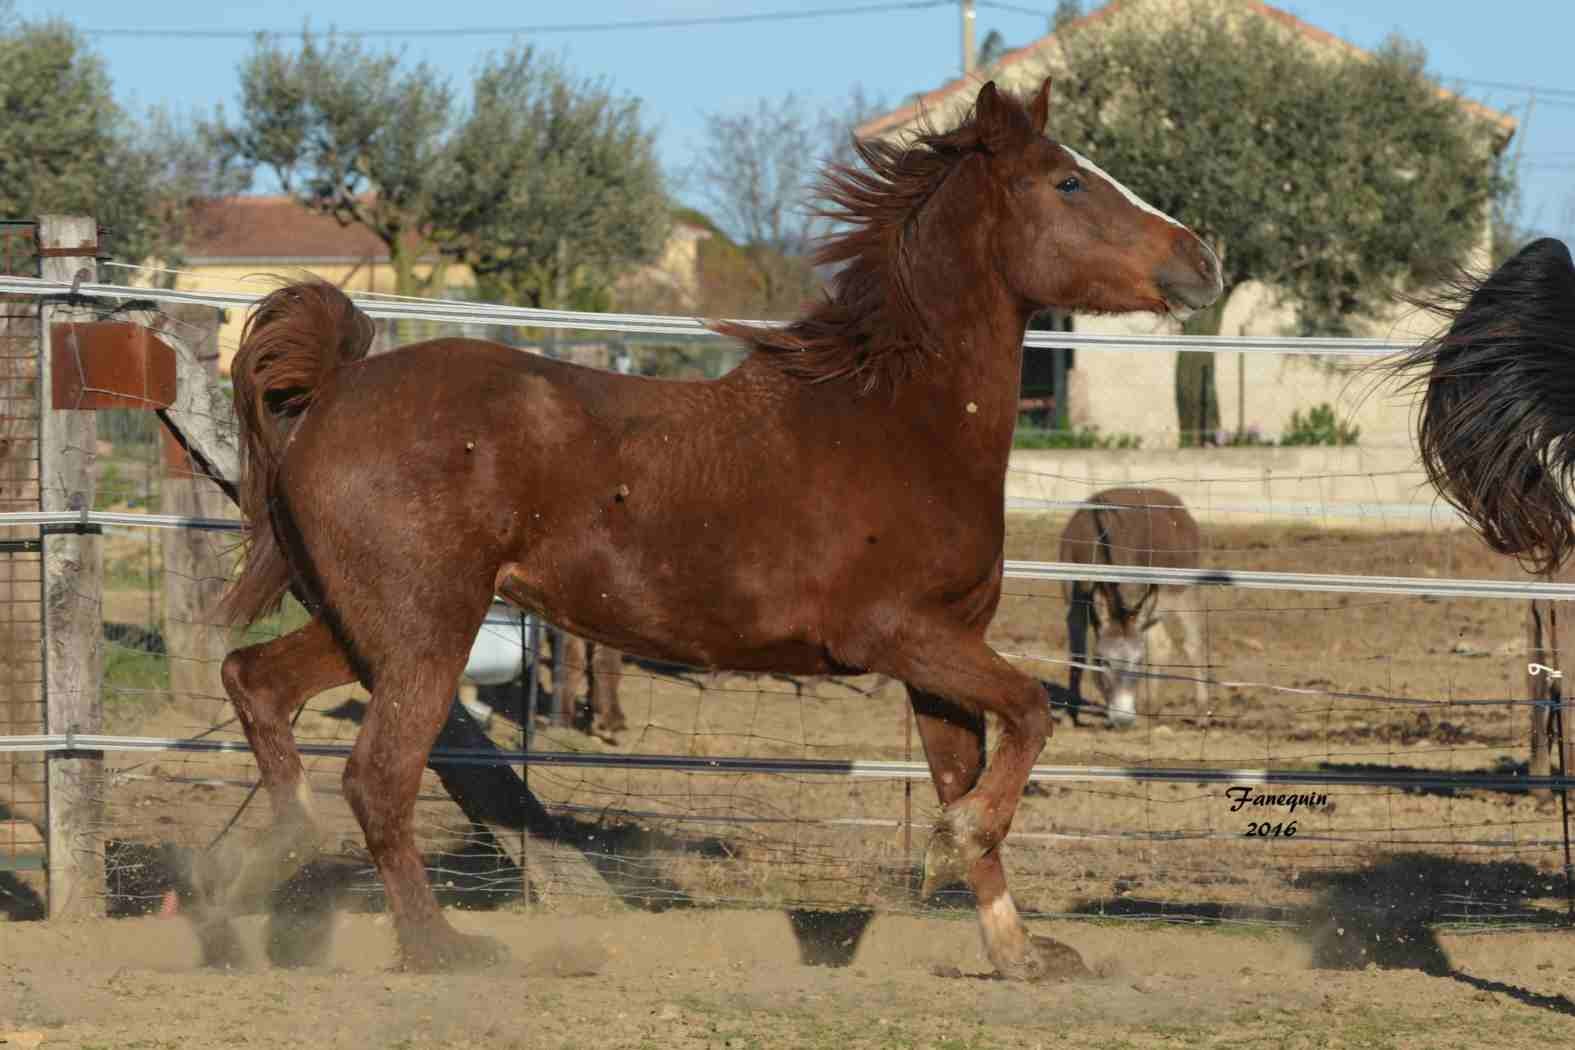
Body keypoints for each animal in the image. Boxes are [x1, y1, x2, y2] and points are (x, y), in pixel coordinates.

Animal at [203, 77, 1222, 982]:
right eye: (1068, 181)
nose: (1203, 261)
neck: (895, 420)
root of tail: (333, 389)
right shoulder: (896, 634)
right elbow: (1029, 719)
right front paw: (952, 851)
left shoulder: (942, 654)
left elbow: (970, 769)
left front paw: (1020, 954)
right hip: (426, 629)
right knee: (377, 776)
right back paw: (440, 949)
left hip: (371, 625)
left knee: (256, 681)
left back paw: (257, 882)